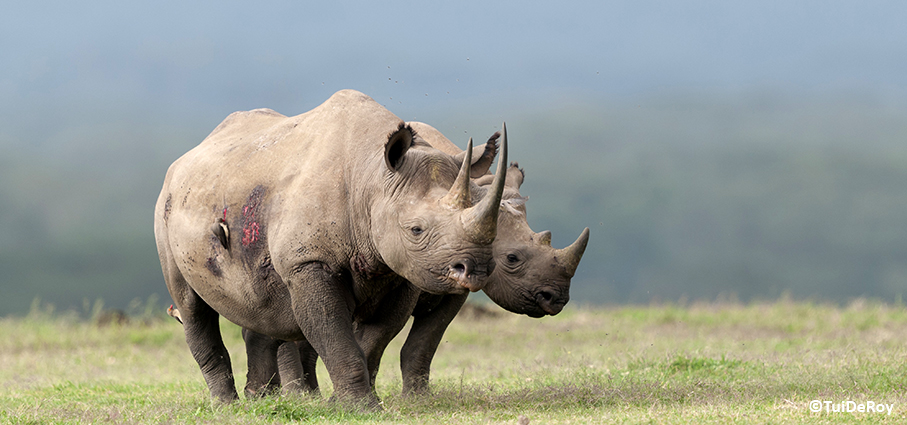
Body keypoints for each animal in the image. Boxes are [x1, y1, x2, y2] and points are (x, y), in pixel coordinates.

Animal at [153, 89, 508, 407]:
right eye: (416, 229)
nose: (475, 269)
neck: (371, 179)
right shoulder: (308, 262)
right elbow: (334, 334)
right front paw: (361, 407)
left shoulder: (398, 269)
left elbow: (373, 340)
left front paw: (342, 402)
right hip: (166, 211)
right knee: (191, 306)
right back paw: (228, 406)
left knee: (261, 309)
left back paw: (258, 400)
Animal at [228, 121, 589, 396]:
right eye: (512, 259)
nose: (557, 299)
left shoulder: (451, 284)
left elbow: (421, 344)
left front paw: (416, 398)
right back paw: (296, 395)